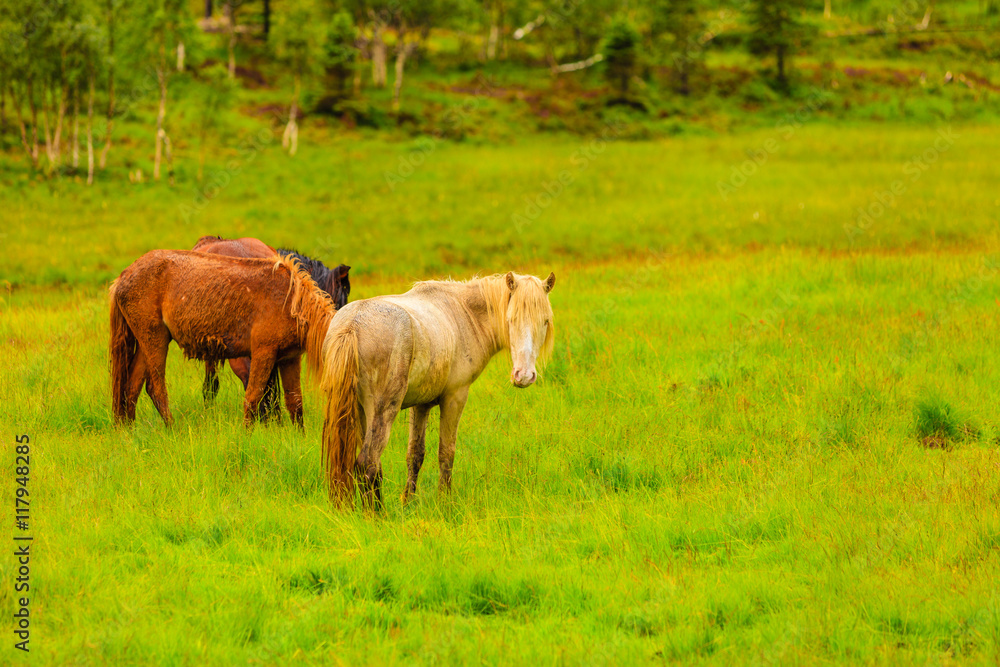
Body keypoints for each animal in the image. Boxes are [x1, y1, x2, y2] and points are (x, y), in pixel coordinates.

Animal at [109, 250, 334, 427]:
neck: (291, 302)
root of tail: (123, 277)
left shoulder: (289, 358)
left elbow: (295, 403)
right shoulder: (264, 352)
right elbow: (253, 397)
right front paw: (246, 436)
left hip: (146, 342)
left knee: (131, 388)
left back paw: (129, 432)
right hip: (155, 339)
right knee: (155, 388)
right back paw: (172, 429)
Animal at [319, 271, 556, 507]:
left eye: (545, 321)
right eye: (511, 320)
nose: (524, 376)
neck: (463, 313)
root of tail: (352, 325)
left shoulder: (420, 405)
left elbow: (415, 455)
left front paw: (408, 502)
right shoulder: (454, 398)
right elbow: (446, 453)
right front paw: (445, 501)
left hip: (359, 413)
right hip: (382, 412)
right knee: (368, 464)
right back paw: (377, 513)